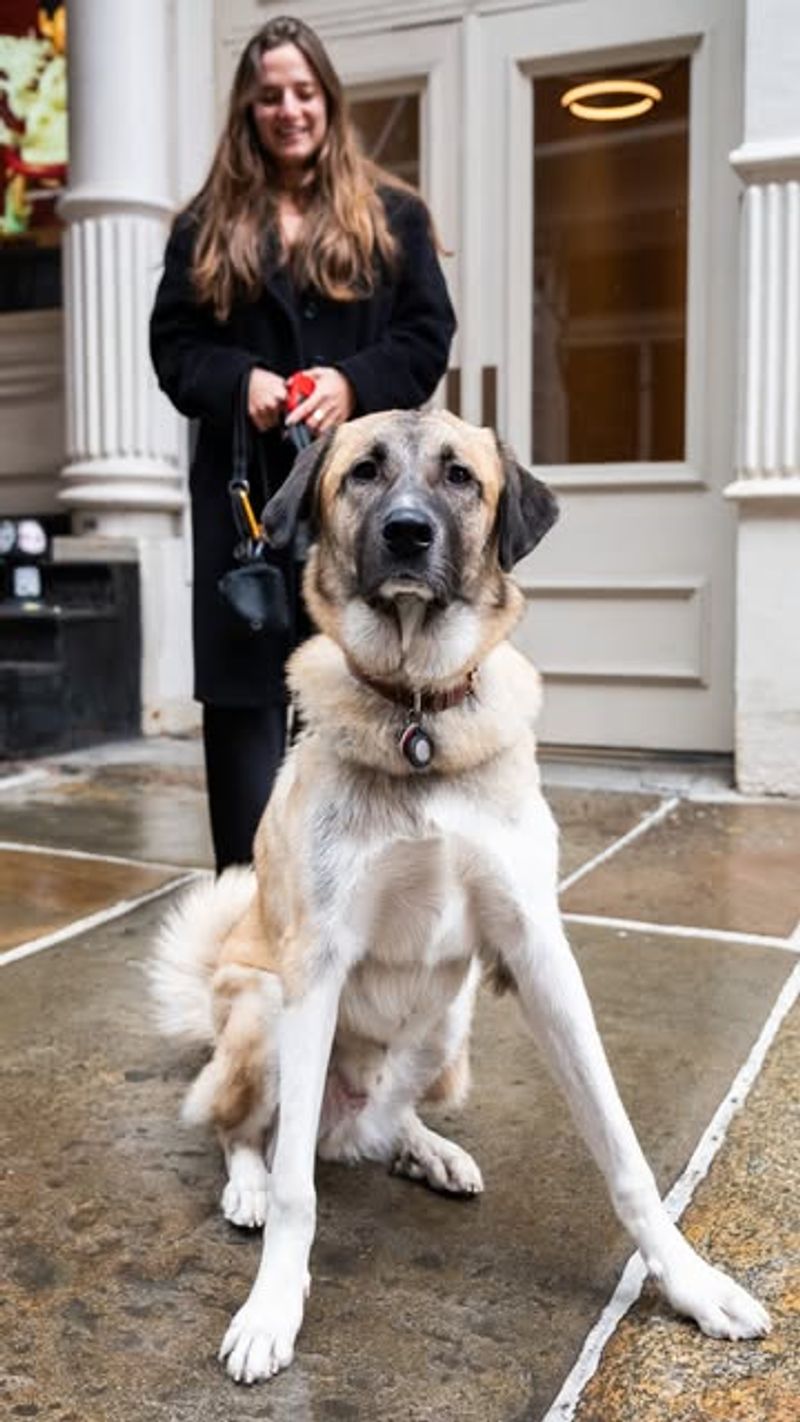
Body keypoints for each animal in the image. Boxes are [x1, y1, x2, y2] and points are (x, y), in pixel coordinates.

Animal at [150, 409, 767, 1376]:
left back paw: (427, 1151)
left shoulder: (540, 955)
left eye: (460, 477)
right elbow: (296, 1192)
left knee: (380, 1122)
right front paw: (272, 1308)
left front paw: (691, 1283)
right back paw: (248, 1184)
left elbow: (623, 1151)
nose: (409, 533)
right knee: (249, 1133)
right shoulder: (315, 969)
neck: (418, 715)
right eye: (363, 472)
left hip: (451, 1032)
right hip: (262, 1010)